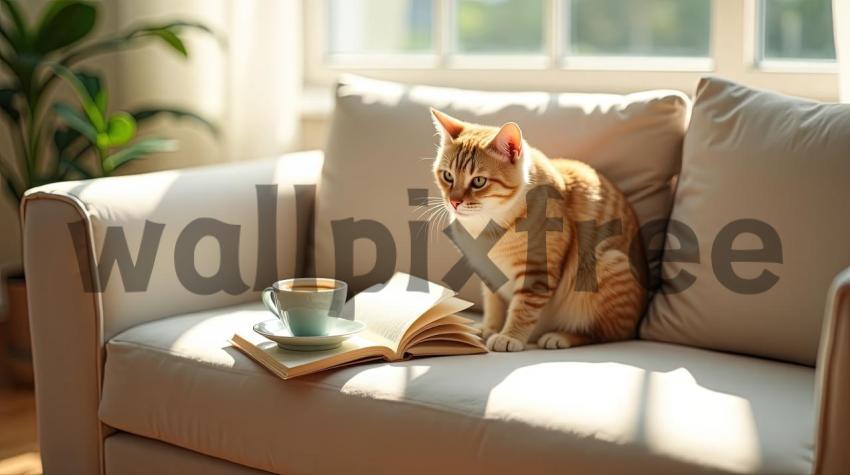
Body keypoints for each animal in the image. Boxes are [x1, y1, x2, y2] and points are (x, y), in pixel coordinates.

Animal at [428, 109, 644, 354]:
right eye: (448, 176)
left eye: (479, 181)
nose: (454, 202)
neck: (484, 227)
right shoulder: (489, 275)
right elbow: (493, 305)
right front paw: (489, 328)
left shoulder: (538, 270)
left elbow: (523, 308)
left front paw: (509, 336)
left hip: (607, 264)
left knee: (609, 333)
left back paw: (561, 336)